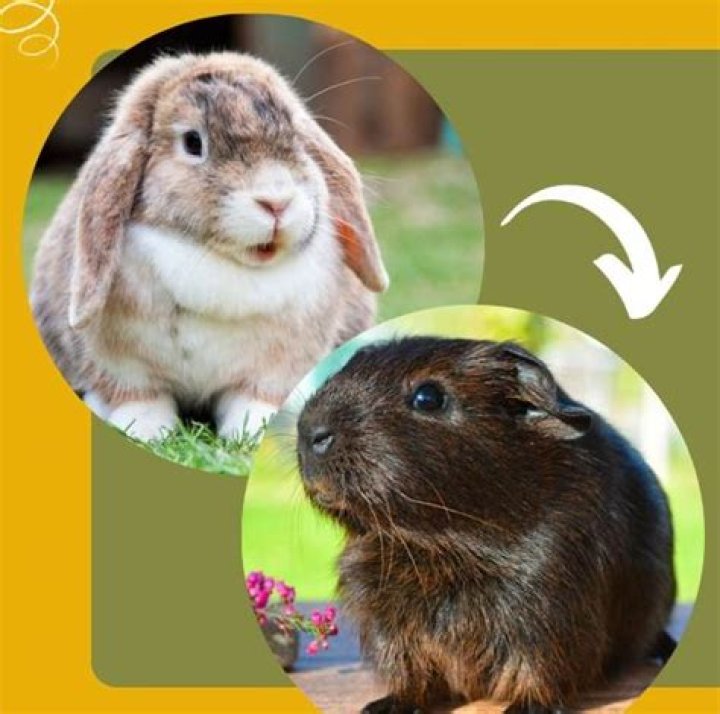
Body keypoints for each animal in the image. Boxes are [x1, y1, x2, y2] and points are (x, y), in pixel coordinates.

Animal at [30, 51, 388, 441]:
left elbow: (255, 398)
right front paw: (143, 430)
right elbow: (140, 397)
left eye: (295, 137)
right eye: (192, 142)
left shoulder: (277, 366)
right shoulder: (121, 364)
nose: (276, 202)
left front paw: (255, 431)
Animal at [295, 336, 676, 713]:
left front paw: (525, 709)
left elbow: (540, 671)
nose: (312, 431)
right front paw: (385, 706)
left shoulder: (546, 609)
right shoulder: (384, 617)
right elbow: (409, 673)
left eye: (428, 397)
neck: (439, 545)